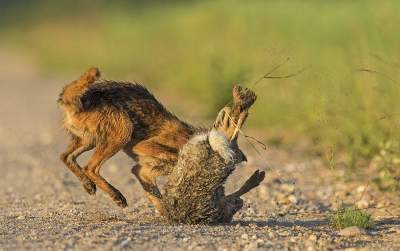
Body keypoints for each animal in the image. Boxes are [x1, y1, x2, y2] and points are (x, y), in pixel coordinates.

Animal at [57, 67, 248, 214]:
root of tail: (81, 99)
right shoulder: (144, 147)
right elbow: (173, 157)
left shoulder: (141, 170)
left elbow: (155, 196)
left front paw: (167, 213)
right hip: (122, 132)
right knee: (89, 167)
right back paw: (116, 195)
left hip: (90, 141)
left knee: (65, 157)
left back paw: (88, 185)